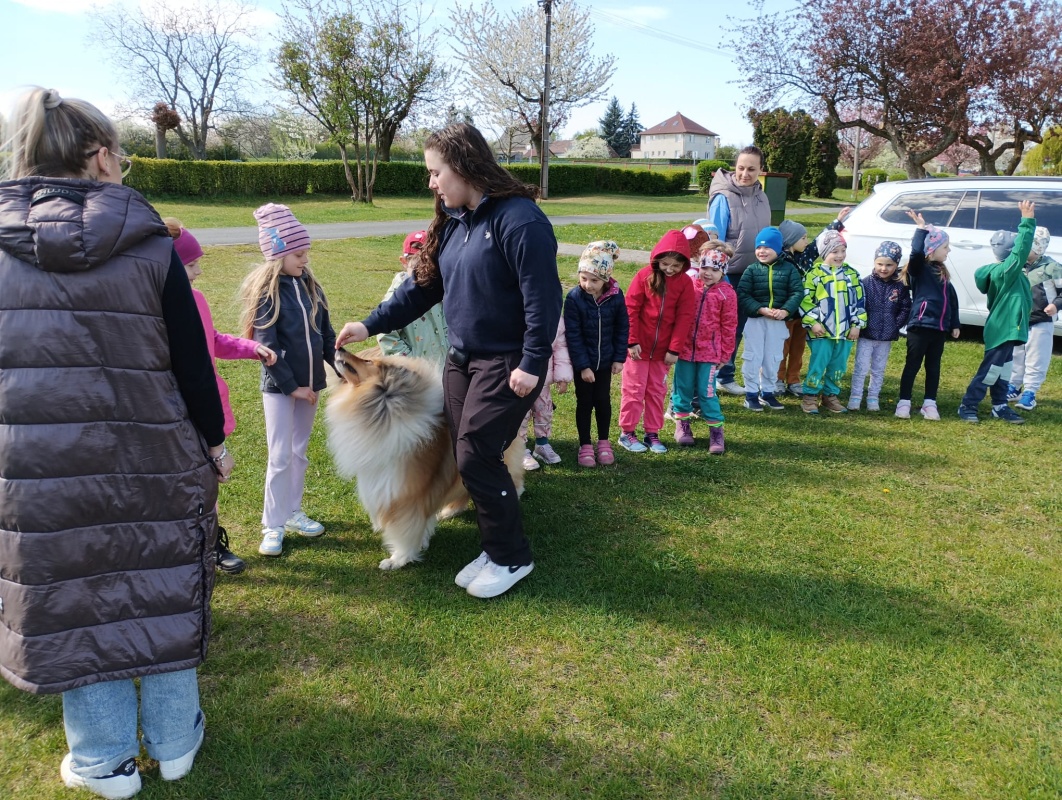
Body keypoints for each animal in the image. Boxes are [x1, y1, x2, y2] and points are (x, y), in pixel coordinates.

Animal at [327, 349, 524, 570]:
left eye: (368, 360)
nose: (339, 348)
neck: (383, 407)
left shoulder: (404, 495)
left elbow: (404, 530)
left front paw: (398, 559)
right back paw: (448, 511)